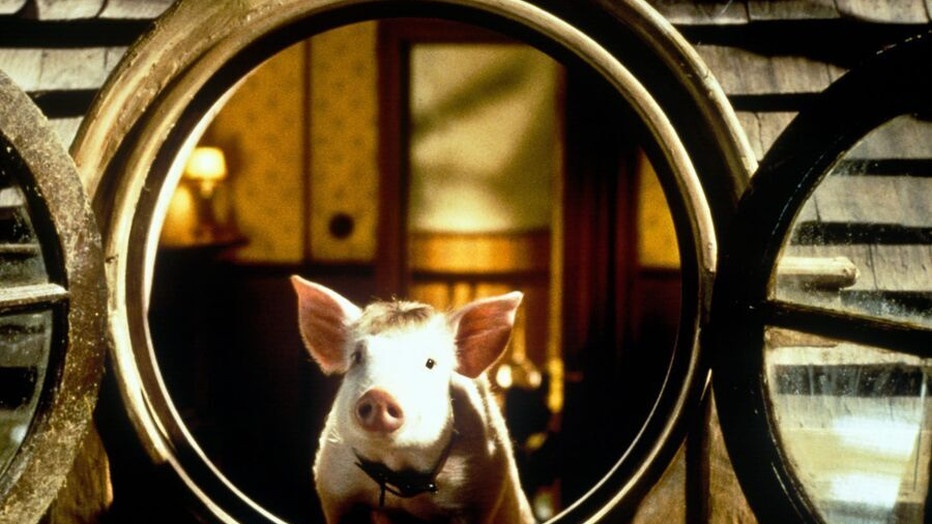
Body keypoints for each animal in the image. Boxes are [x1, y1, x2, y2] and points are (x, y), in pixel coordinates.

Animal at [291, 276, 536, 524]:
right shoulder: (335, 489)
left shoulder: (477, 494)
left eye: (430, 362)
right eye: (357, 357)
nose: (379, 395)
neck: (399, 468)